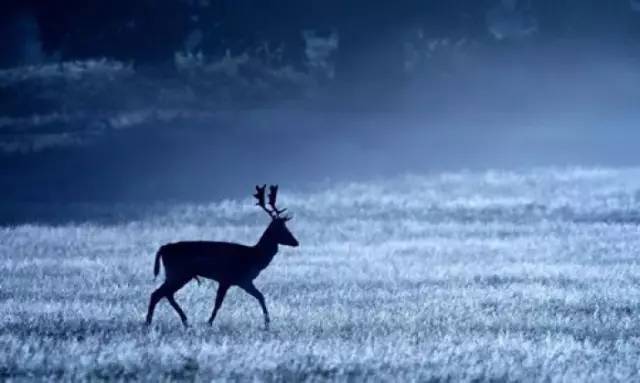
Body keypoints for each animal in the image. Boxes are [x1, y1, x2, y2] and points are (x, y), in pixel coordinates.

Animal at [144, 186, 298, 330]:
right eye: (282, 229)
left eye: (286, 227)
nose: (296, 242)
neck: (254, 256)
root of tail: (163, 248)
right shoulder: (236, 279)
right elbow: (233, 300)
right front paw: (266, 324)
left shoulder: (233, 281)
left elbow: (229, 301)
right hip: (178, 273)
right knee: (158, 293)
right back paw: (149, 322)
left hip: (177, 274)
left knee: (166, 294)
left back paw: (184, 321)